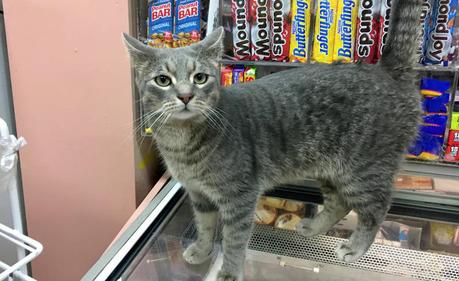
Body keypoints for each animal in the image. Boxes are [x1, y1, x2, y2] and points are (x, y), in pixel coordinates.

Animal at [123, 0, 424, 278]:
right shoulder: (198, 194)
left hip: (363, 172)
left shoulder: (240, 199)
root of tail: (386, 70)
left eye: (200, 78)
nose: (185, 96)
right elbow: (205, 226)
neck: (181, 143)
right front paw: (202, 249)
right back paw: (314, 227)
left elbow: (233, 242)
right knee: (338, 203)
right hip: (331, 170)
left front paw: (229, 272)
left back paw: (356, 246)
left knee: (377, 208)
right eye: (163, 80)